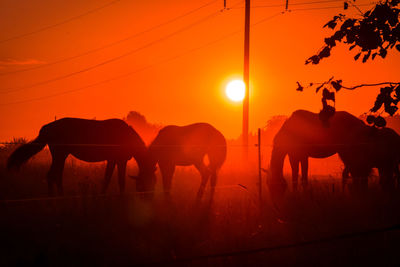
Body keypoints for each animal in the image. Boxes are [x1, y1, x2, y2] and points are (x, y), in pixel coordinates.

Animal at [7, 118, 155, 196]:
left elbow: (107, 178)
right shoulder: (120, 160)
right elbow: (119, 180)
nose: (148, 196)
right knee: (51, 175)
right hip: (60, 154)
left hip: (61, 155)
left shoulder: (113, 160)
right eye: (148, 182)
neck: (126, 136)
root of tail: (46, 128)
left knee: (56, 175)